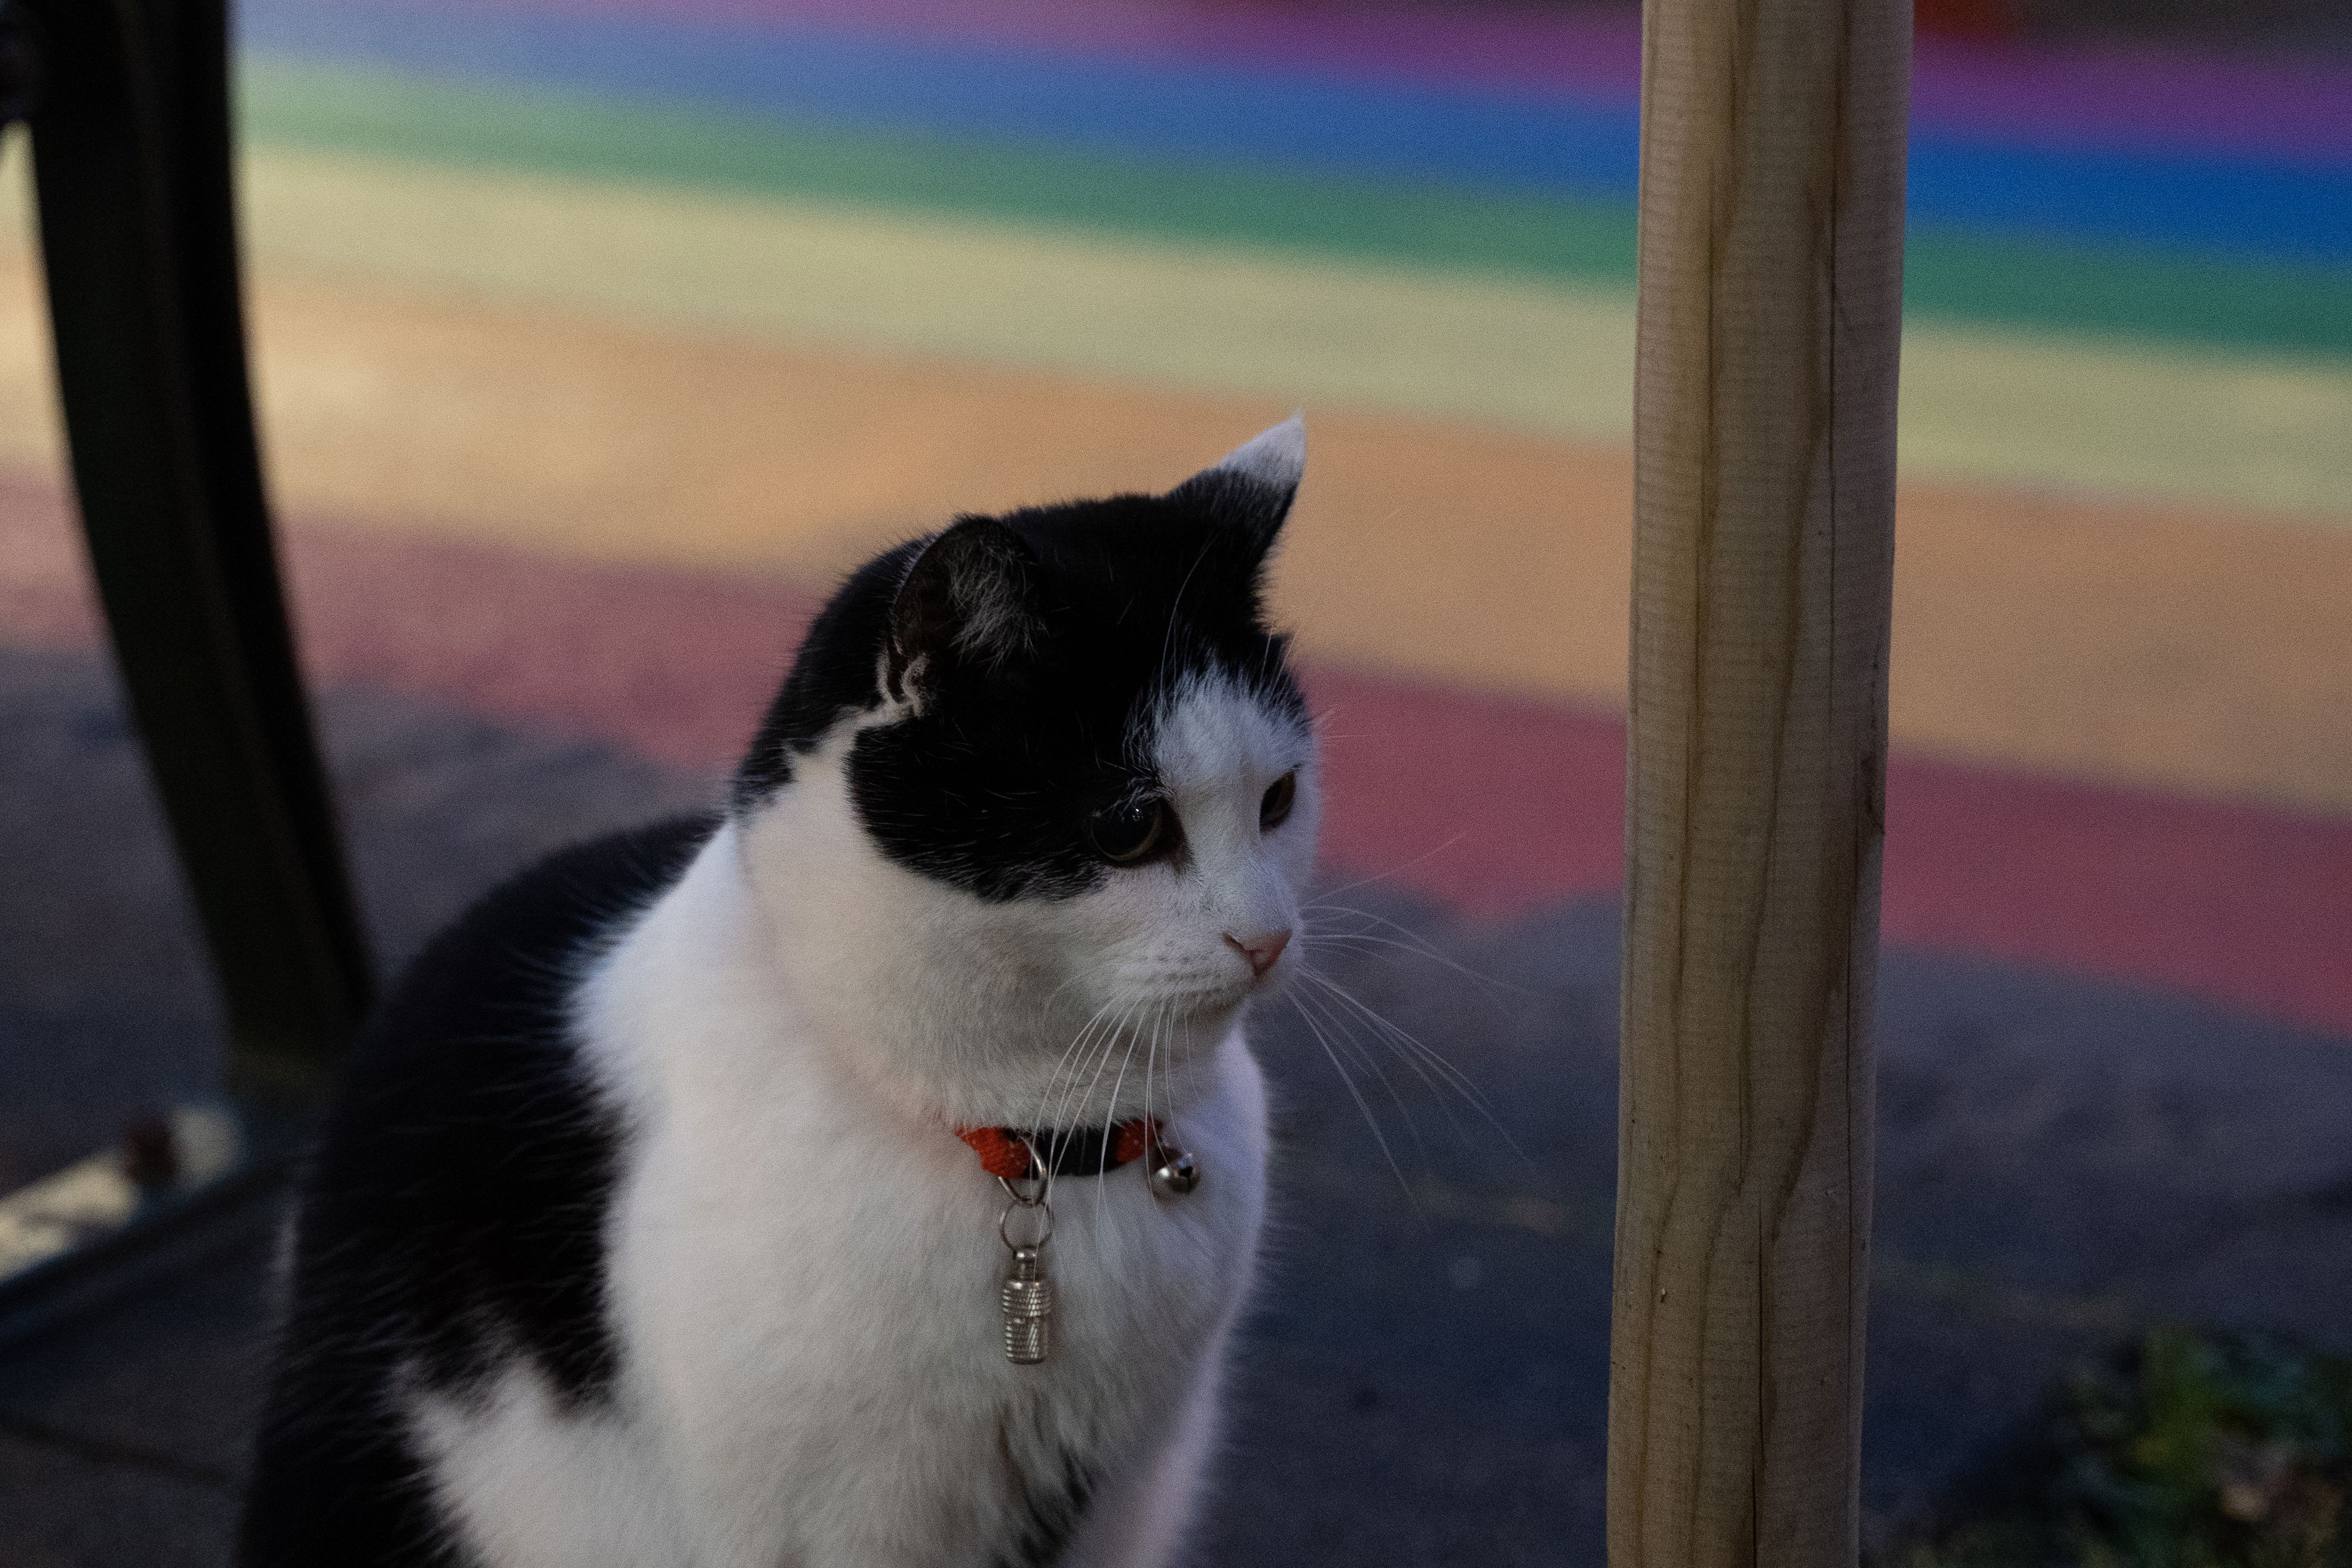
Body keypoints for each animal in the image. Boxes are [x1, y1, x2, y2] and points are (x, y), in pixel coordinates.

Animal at [248, 411, 1336, 1561]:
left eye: (1278, 798)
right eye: (1130, 826)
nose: (1267, 937)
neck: (1044, 1146)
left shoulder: (1126, 1491)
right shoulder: (836, 1526)